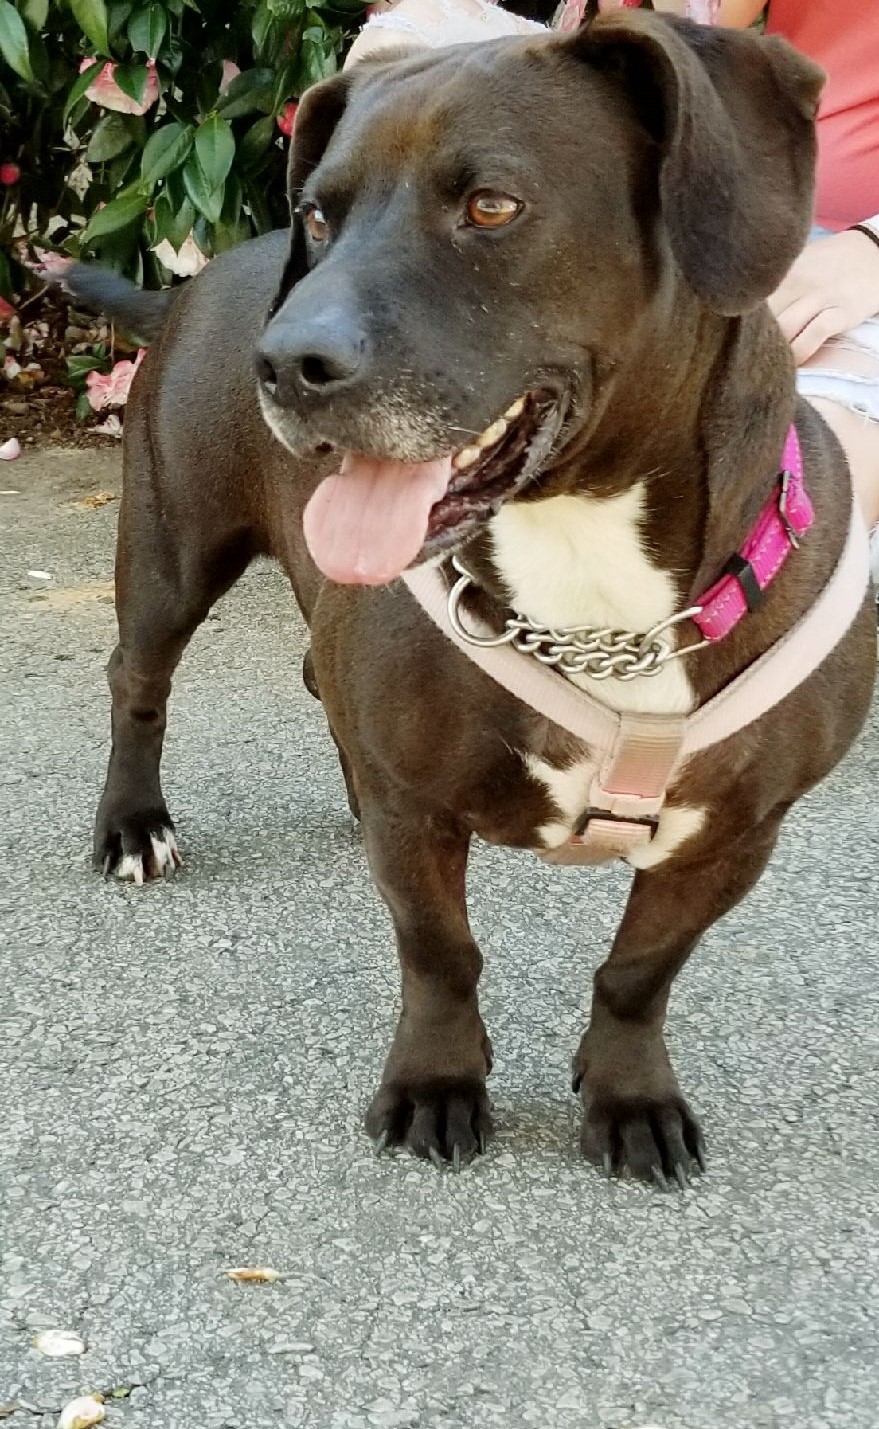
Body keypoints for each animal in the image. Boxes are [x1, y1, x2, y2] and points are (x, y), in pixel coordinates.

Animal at [65, 13, 874, 1183]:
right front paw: (437, 1080)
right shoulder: (418, 820)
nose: (285, 362)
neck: (593, 583)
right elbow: (439, 949)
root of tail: (194, 282)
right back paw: (132, 822)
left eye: (492, 205)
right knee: (139, 679)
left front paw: (630, 1092)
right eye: (319, 214)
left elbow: (642, 969)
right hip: (172, 548)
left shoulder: (732, 836)